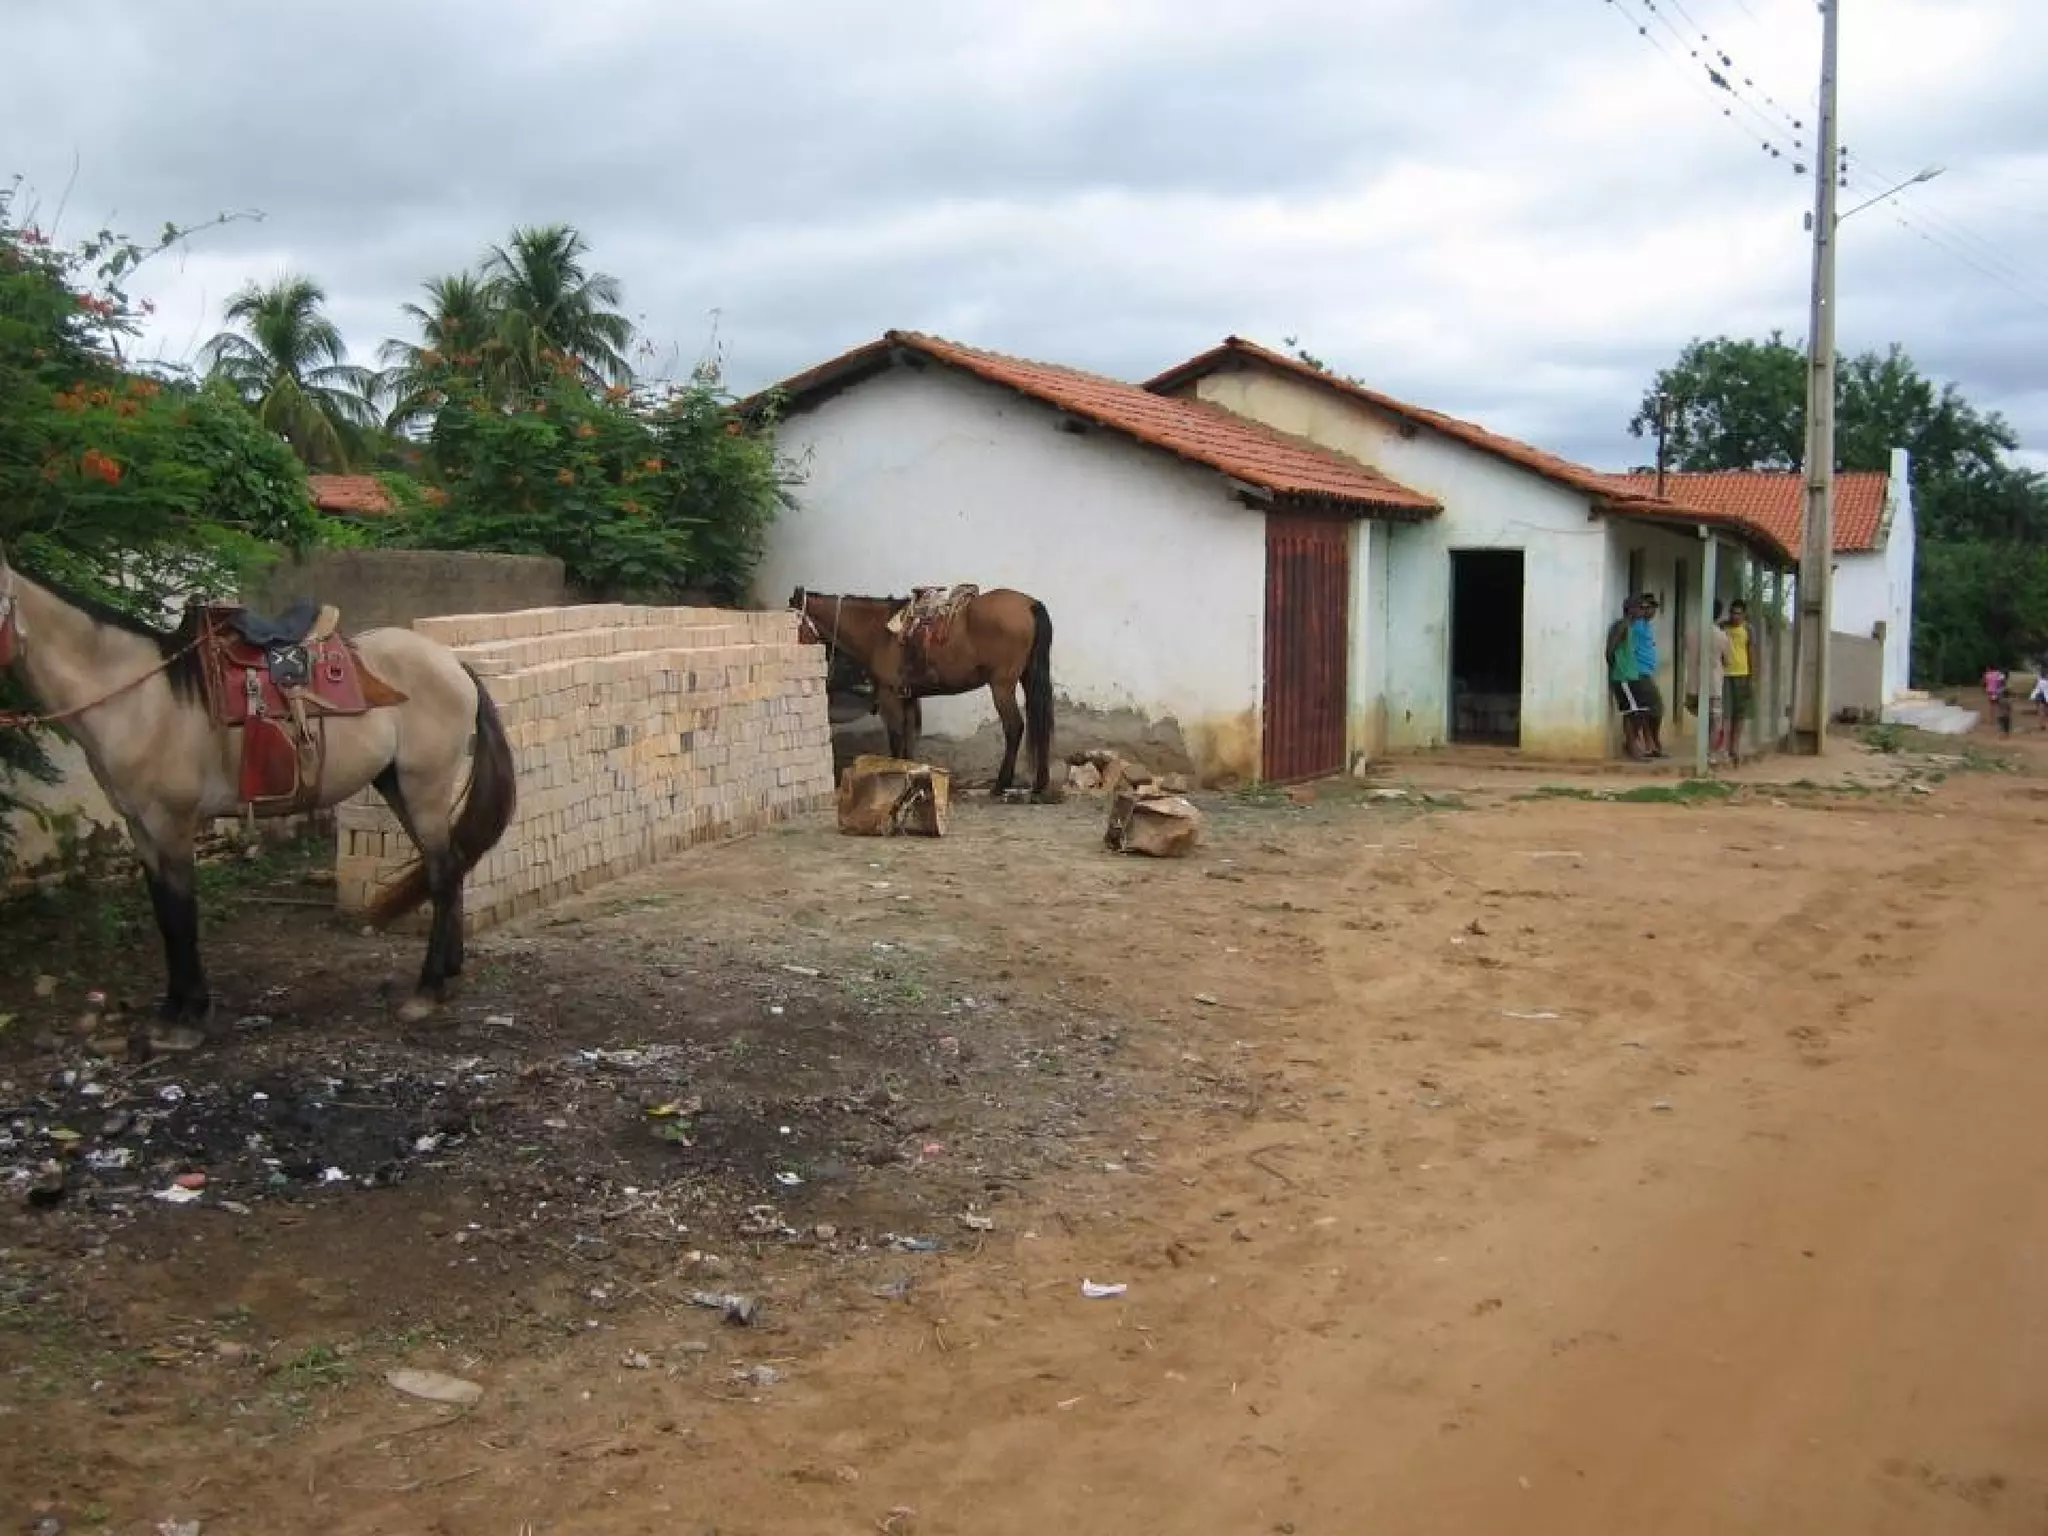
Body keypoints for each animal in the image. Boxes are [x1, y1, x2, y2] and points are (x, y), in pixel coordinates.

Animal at [0, 540, 516, 1047]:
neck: (142, 701)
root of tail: (454, 664)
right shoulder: (140, 826)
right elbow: (165, 913)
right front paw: (172, 1010)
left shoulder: (172, 823)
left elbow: (181, 913)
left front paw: (189, 1016)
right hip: (397, 785)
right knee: (448, 864)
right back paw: (449, 971)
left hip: (423, 785)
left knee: (443, 872)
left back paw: (427, 989)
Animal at [790, 586, 1056, 800]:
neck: (878, 631)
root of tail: (1029, 603)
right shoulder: (907, 697)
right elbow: (908, 741)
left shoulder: (890, 696)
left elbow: (896, 739)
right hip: (1027, 678)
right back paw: (1039, 784)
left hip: (1001, 685)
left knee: (1014, 728)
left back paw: (1001, 784)